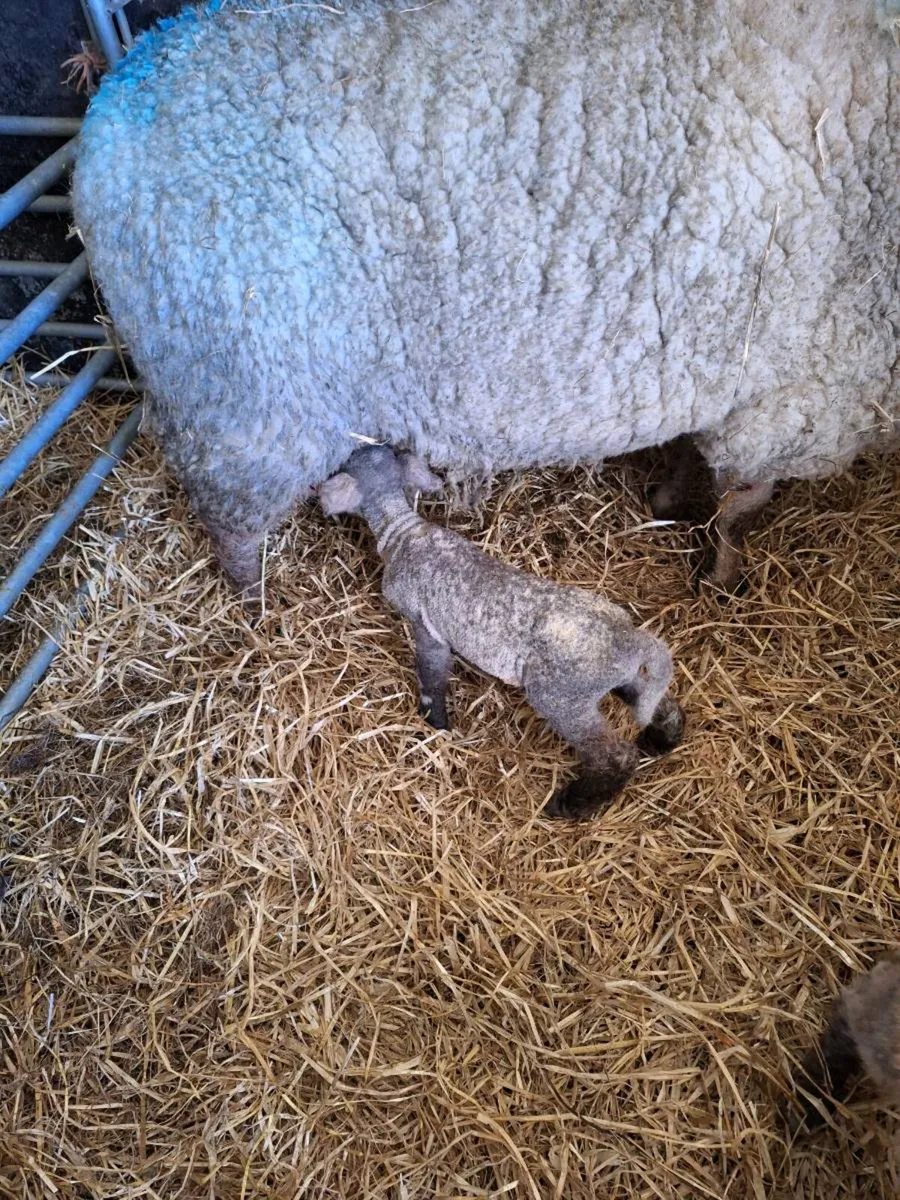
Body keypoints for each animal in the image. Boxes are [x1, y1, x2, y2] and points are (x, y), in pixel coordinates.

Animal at [72, 0, 900, 595]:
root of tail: (114, 100)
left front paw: (669, 498)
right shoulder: (799, 403)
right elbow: (739, 504)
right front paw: (718, 566)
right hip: (239, 403)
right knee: (233, 526)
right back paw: (252, 600)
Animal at [317, 445, 685, 819]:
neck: (403, 530)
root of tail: (630, 638)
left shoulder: (425, 625)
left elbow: (431, 673)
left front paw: (436, 723)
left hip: (562, 697)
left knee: (614, 756)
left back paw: (570, 803)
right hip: (623, 679)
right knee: (662, 705)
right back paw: (660, 741)